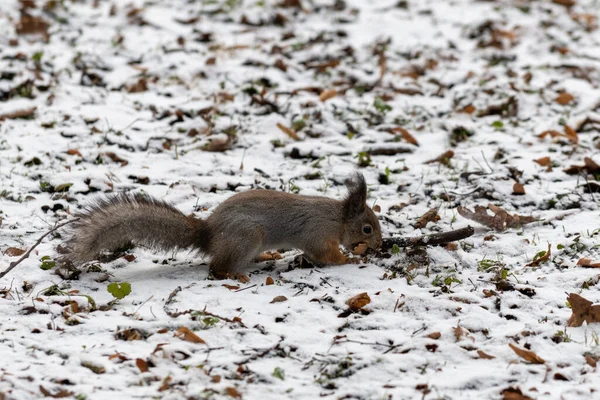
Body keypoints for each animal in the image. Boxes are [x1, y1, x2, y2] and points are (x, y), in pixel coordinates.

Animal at [61, 172, 380, 278]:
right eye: (367, 228)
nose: (379, 244)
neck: (338, 219)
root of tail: (209, 234)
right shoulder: (318, 233)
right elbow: (324, 254)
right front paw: (349, 259)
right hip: (246, 236)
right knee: (216, 267)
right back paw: (235, 274)